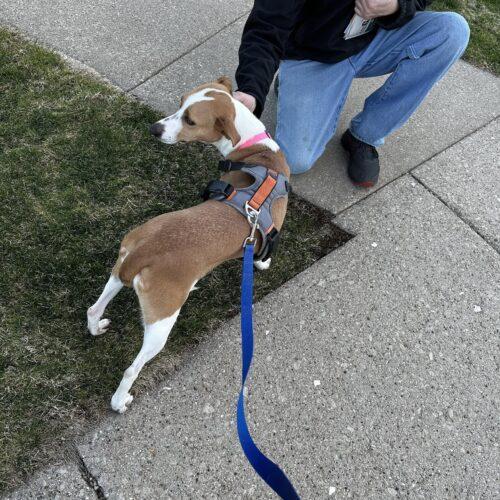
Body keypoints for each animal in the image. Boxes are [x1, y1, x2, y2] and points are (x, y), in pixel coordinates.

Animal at [86, 76, 290, 412]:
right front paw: (263, 263)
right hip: (162, 322)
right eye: (180, 104)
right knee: (131, 369)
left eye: (190, 118)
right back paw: (120, 401)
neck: (256, 149)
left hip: (119, 269)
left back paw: (96, 326)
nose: (154, 129)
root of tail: (144, 252)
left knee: (93, 308)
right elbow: (263, 254)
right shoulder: (269, 232)